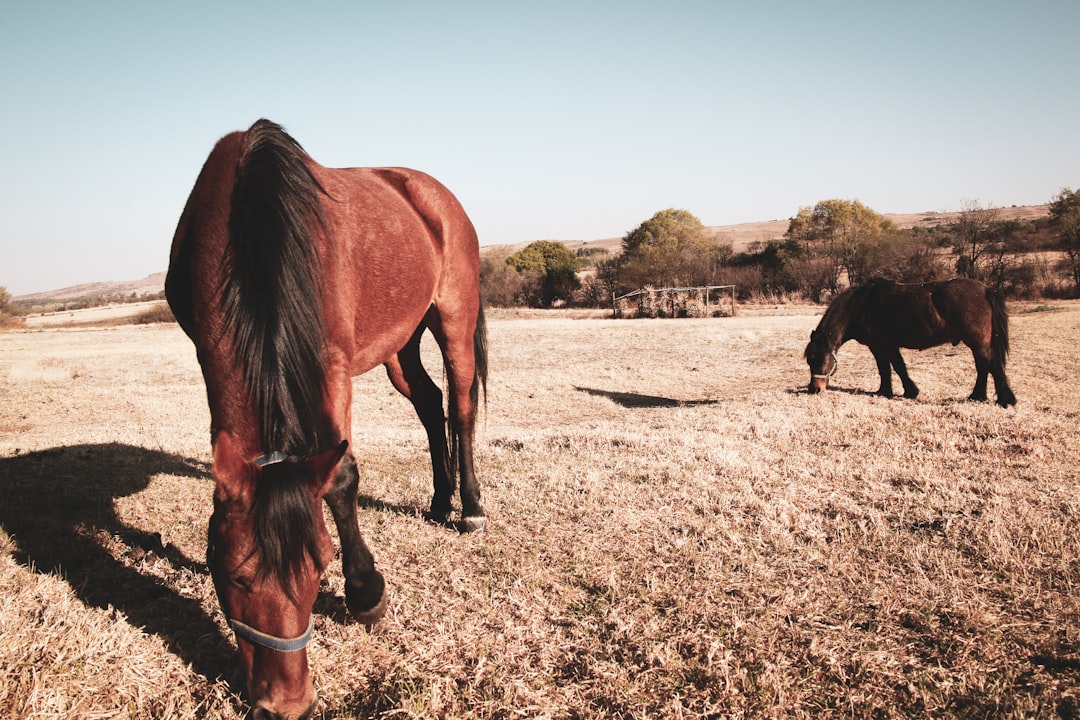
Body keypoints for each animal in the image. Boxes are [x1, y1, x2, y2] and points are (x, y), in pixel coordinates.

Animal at [166, 119, 488, 720]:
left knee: (459, 408)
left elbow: (341, 475)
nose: (286, 705)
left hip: (453, 315)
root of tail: (431, 193)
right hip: (398, 344)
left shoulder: (331, 366)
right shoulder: (206, 354)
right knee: (430, 405)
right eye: (235, 576)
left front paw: (366, 593)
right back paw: (439, 501)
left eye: (320, 569)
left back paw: (471, 508)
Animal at [807, 278, 1015, 408]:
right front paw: (907, 391)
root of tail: (986, 290)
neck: (860, 305)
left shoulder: (880, 346)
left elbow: (889, 368)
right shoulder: (888, 346)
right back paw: (978, 396)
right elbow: (897, 367)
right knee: (983, 367)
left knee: (992, 366)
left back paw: (1005, 400)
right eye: (809, 360)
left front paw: (889, 391)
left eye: (820, 359)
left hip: (977, 342)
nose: (814, 389)